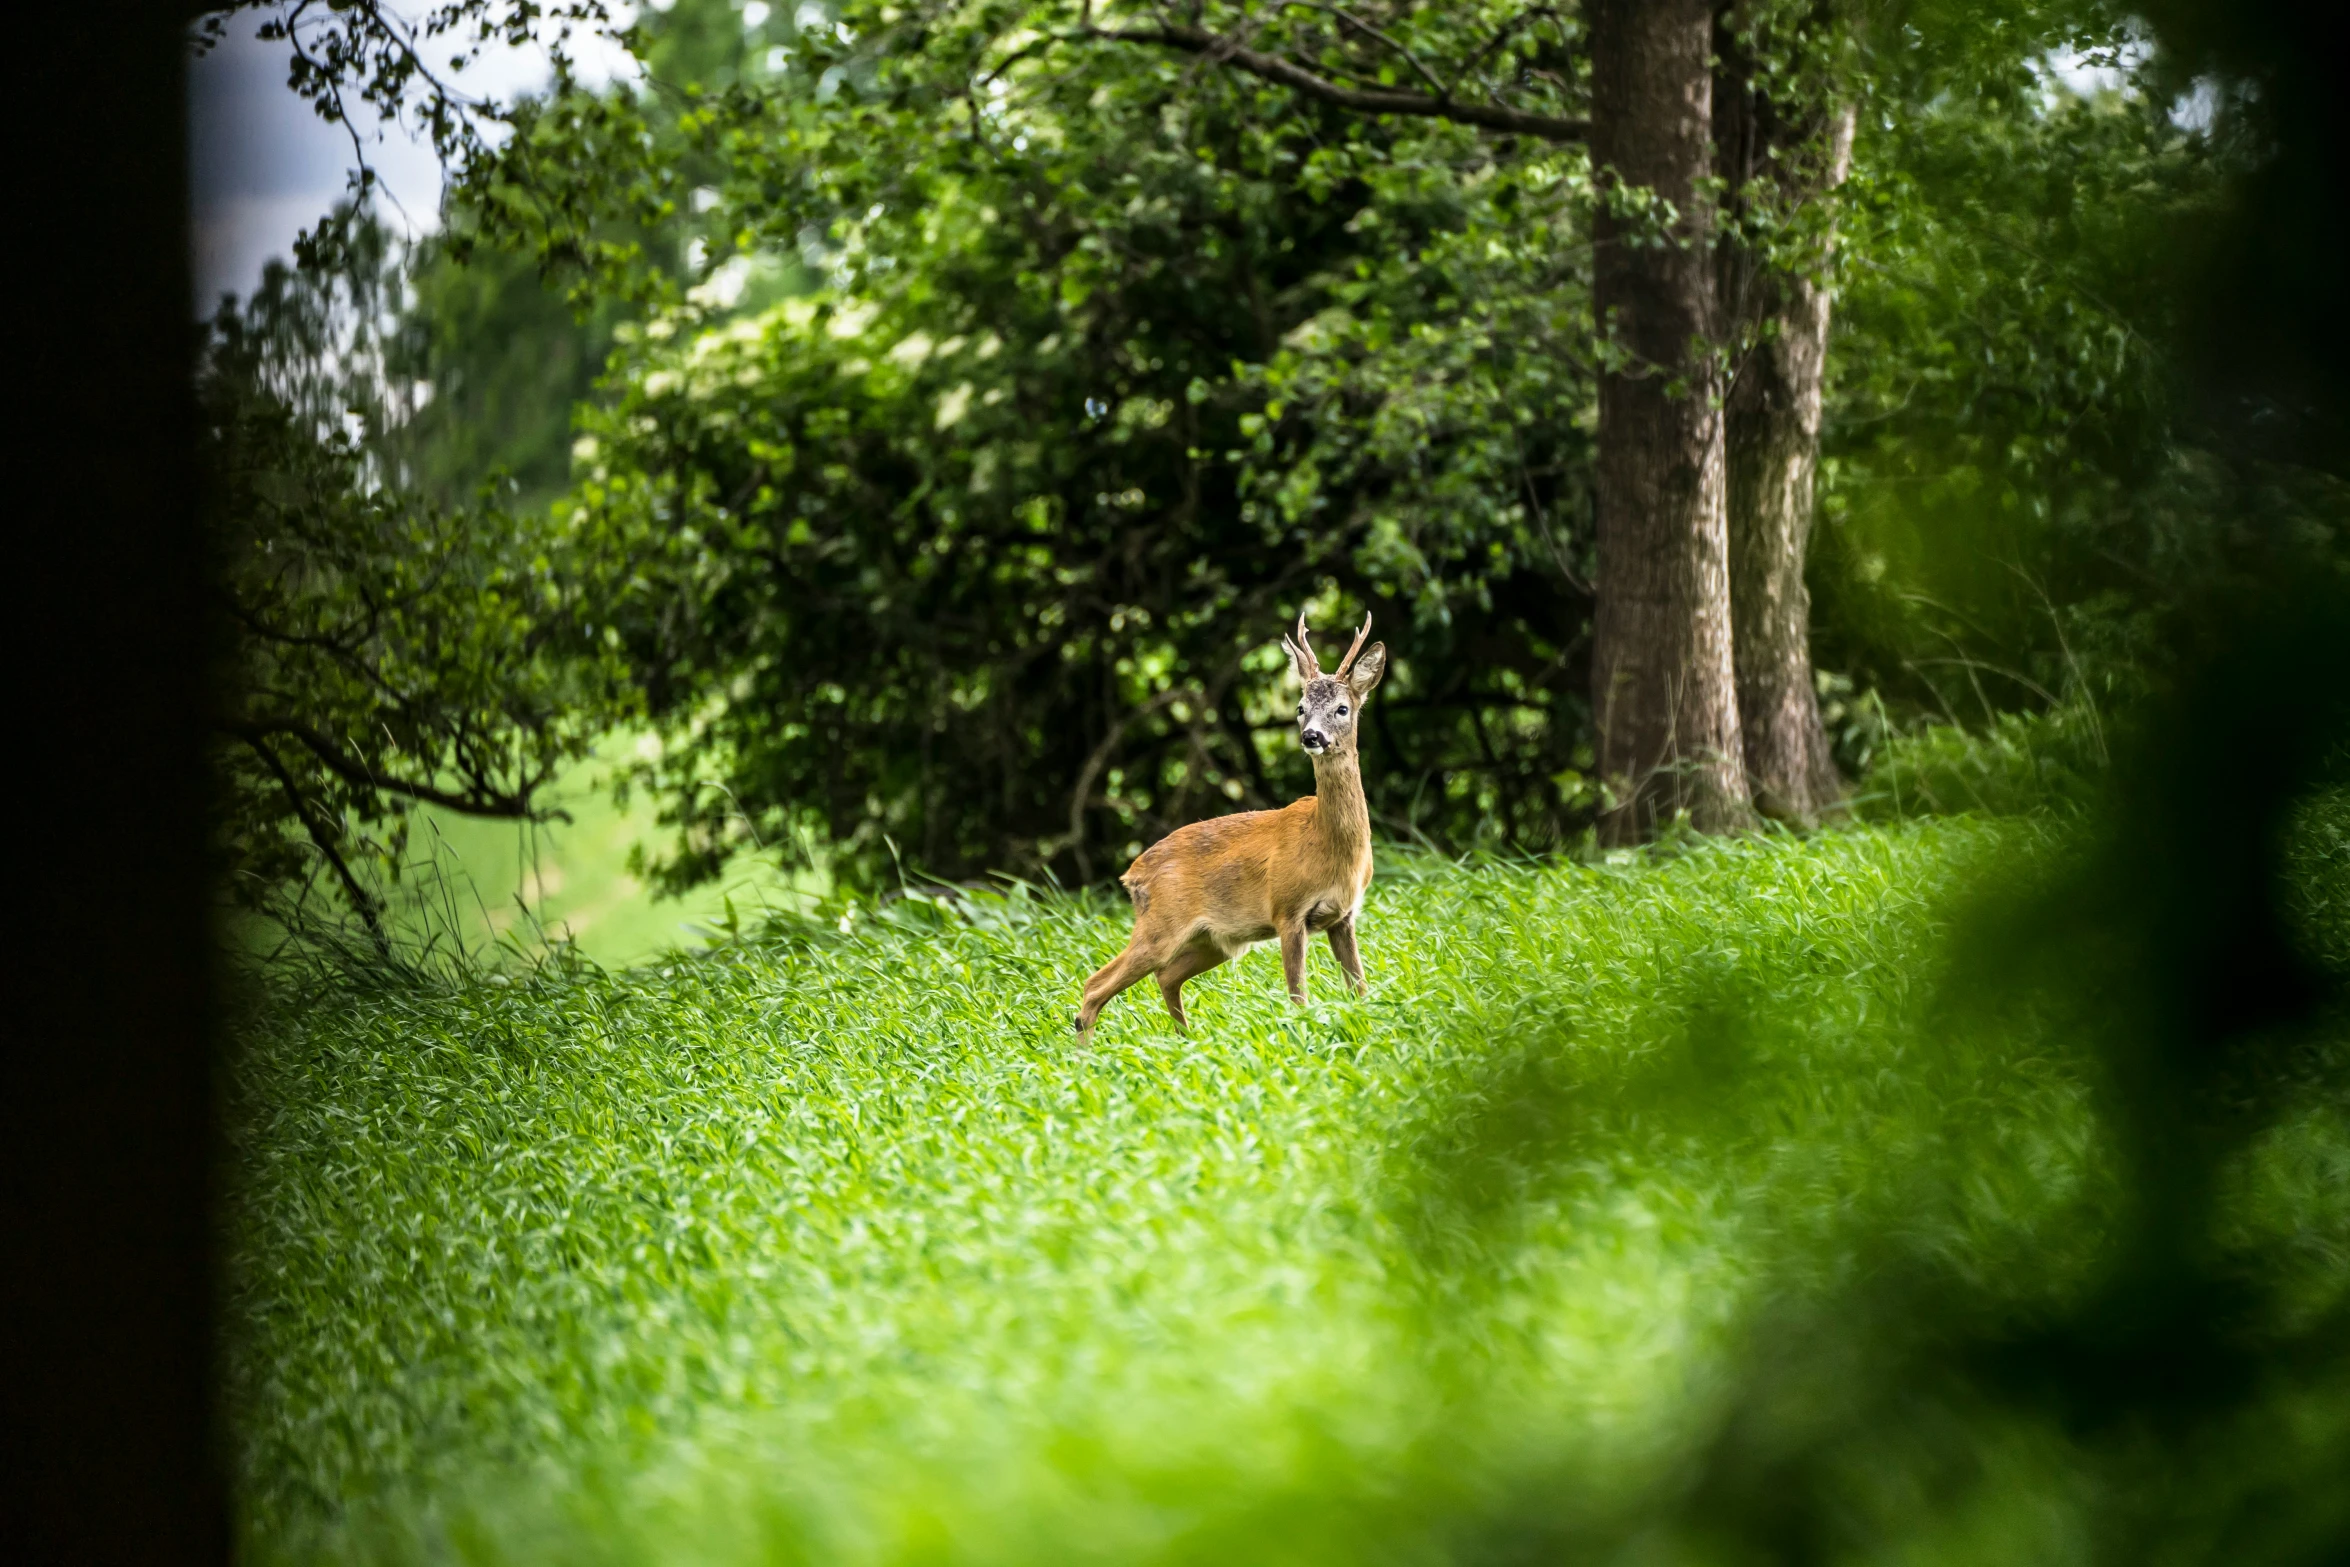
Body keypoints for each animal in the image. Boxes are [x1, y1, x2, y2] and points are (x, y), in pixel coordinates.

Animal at [1076, 610, 1381, 1043]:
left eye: (1341, 708)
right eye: (1300, 707)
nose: (1311, 736)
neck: (1327, 844)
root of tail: (1131, 875)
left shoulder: (1343, 916)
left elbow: (1359, 988)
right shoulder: (1287, 910)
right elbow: (1298, 996)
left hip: (1214, 941)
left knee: (1166, 976)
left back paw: (1186, 1040)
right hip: (1160, 926)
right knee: (1095, 985)